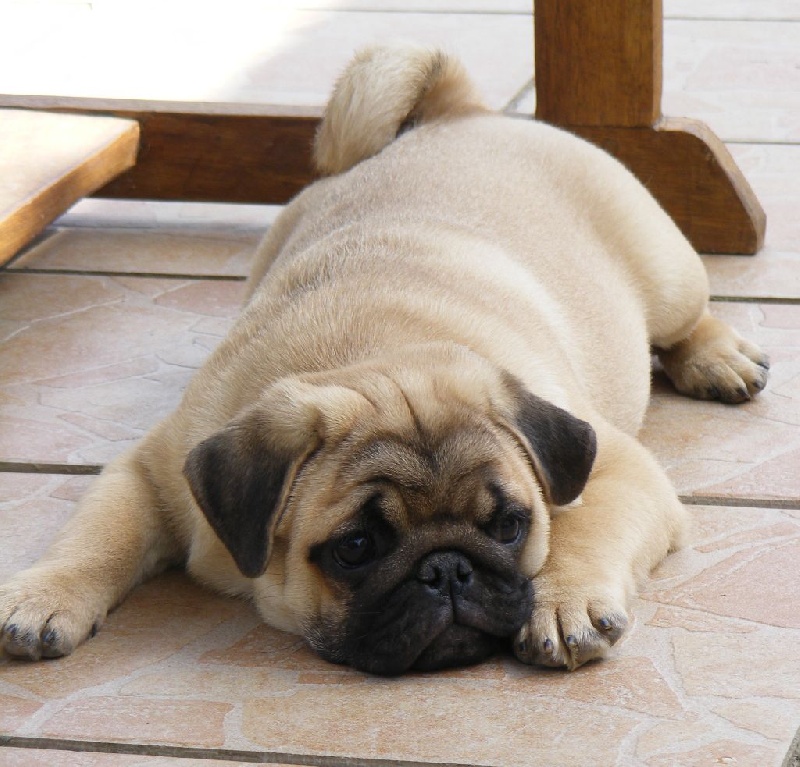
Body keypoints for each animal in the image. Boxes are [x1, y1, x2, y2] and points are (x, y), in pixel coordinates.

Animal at [0, 47, 769, 675]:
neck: (373, 354)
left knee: (686, 318)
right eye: (356, 548)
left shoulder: (615, 466)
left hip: (667, 274)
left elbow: (585, 527)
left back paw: (718, 358)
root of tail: (462, 113)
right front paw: (43, 595)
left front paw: (566, 600)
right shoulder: (155, 476)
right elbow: (100, 535)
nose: (447, 570)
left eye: (509, 526)